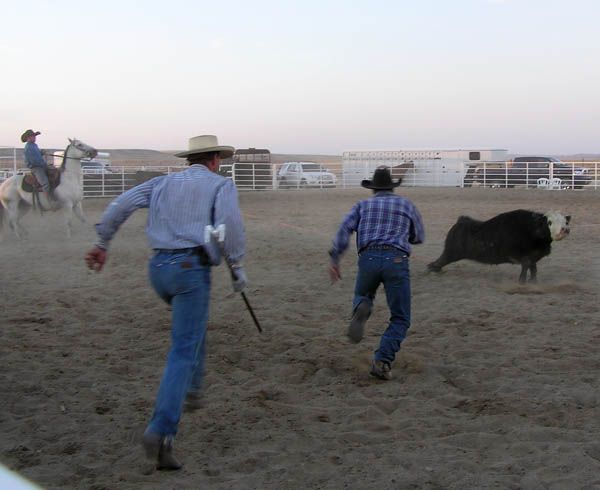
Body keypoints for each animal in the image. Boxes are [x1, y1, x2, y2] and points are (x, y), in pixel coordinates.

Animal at [426, 210, 572, 284]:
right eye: (549, 222)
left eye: (565, 221)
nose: (564, 229)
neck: (532, 229)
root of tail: (461, 221)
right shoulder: (525, 256)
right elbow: (526, 266)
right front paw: (522, 281)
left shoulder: (533, 256)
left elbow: (533, 269)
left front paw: (533, 282)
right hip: (451, 253)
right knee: (438, 261)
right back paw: (432, 270)